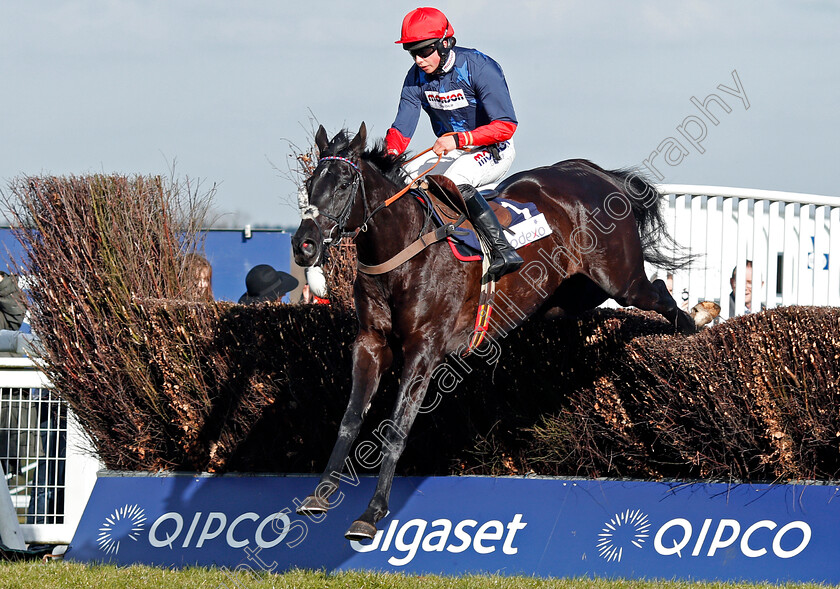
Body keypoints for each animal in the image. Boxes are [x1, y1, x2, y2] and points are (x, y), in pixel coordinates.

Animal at [292, 121, 704, 540]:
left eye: (344, 184)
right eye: (310, 183)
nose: (303, 245)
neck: (402, 251)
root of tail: (591, 172)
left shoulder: (424, 349)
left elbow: (395, 430)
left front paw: (371, 513)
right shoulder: (371, 342)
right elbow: (350, 420)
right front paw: (318, 495)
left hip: (618, 280)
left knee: (658, 291)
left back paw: (691, 330)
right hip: (570, 294)